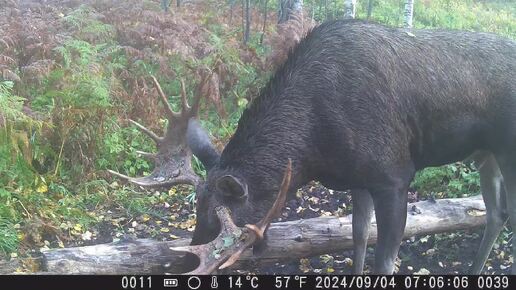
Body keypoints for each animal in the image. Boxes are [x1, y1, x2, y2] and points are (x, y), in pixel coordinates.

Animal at [110, 21, 516, 274]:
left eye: (220, 220)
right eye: (196, 207)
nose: (186, 261)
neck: (315, 148)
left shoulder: (394, 176)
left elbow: (385, 261)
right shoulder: (359, 177)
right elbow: (358, 239)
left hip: (506, 150)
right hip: (487, 156)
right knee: (496, 213)